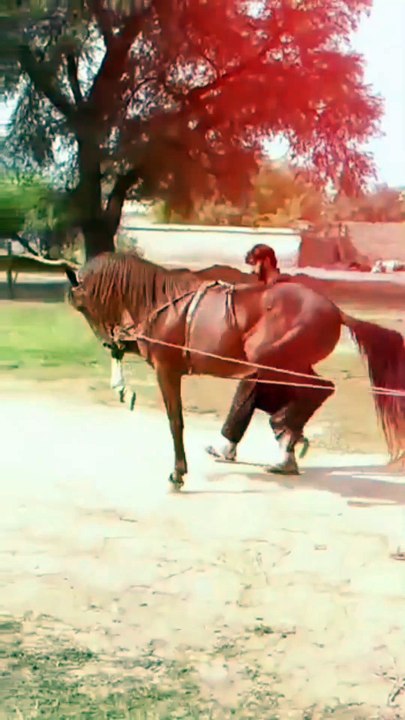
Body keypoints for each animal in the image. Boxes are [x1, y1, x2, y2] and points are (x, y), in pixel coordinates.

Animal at [65, 250, 405, 488]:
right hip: (286, 362)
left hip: (270, 358)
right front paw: (120, 385)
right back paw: (287, 438)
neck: (163, 303)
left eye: (82, 306)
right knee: (316, 390)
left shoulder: (167, 369)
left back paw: (284, 428)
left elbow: (176, 422)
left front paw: (178, 474)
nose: (106, 338)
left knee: (320, 388)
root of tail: (336, 311)